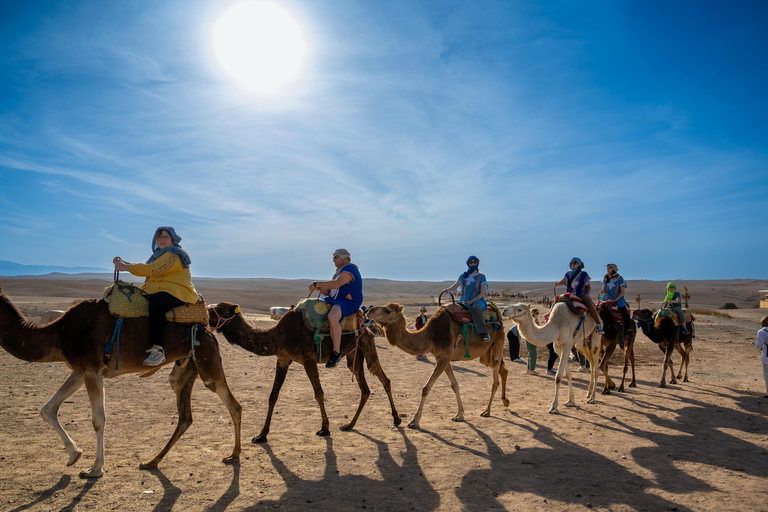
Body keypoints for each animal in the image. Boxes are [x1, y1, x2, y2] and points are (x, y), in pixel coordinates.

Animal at [0, 286, 243, 478]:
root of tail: (207, 329)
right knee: (185, 416)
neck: (60, 334)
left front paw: (95, 469)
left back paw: (233, 455)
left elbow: (98, 420)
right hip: (186, 367)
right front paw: (74, 454)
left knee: (233, 405)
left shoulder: (92, 371)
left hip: (207, 361)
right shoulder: (80, 371)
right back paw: (152, 461)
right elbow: (47, 409)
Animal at [210, 302, 402, 442]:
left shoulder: (308, 360)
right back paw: (349, 425)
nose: (206, 314)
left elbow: (318, 393)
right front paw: (261, 435)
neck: (277, 335)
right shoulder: (283, 359)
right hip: (353, 353)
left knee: (383, 377)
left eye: (218, 309)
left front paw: (325, 428)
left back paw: (396, 419)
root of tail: (366, 324)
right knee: (365, 389)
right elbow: (273, 395)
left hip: (366, 342)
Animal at [364, 304, 508, 428]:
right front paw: (459, 414)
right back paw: (505, 401)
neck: (431, 335)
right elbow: (455, 385)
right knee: (502, 369)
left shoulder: (443, 358)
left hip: (497, 346)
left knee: (495, 379)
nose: (368, 312)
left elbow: (426, 388)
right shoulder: (444, 358)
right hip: (485, 356)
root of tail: (500, 322)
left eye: (388, 310)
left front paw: (414, 421)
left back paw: (487, 411)